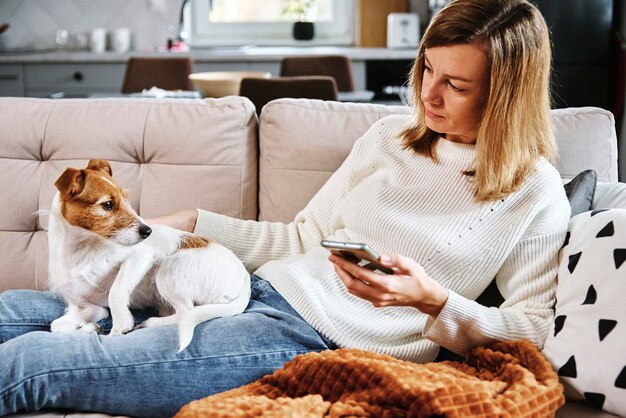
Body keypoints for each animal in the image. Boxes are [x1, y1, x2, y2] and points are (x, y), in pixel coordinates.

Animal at [47, 158, 250, 352]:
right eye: (108, 204)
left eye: (126, 198)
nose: (148, 231)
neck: (81, 250)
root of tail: (244, 278)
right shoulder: (86, 307)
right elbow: (56, 325)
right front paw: (90, 328)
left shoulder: (139, 256)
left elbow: (116, 291)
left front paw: (120, 326)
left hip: (169, 269)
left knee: (186, 313)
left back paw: (149, 323)